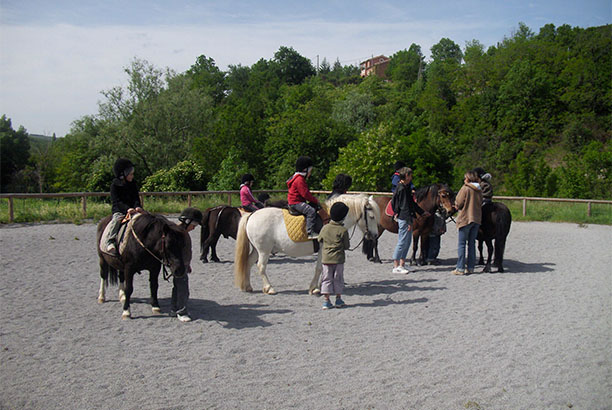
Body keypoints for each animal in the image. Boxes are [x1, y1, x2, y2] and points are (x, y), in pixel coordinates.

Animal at [233, 195, 380, 294]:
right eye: (371, 217)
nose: (374, 235)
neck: (333, 219)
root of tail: (251, 215)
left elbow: (324, 268)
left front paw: (320, 286)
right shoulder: (323, 249)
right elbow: (320, 268)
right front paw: (315, 288)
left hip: (257, 250)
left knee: (248, 263)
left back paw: (247, 286)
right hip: (264, 251)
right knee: (261, 266)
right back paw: (269, 288)